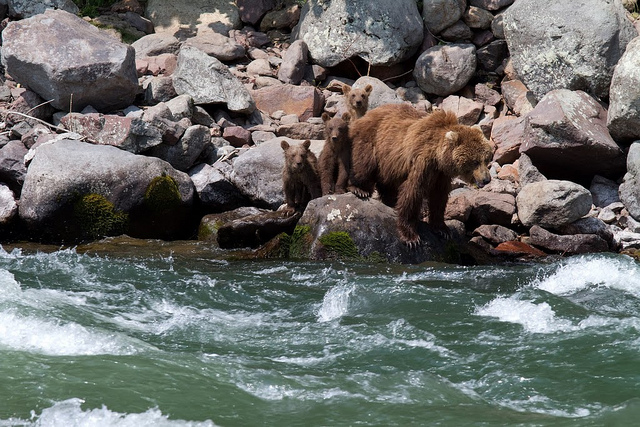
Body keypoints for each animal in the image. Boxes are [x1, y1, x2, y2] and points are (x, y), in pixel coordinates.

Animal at [350, 103, 496, 246]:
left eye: (487, 158)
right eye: (475, 161)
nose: (486, 179)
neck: (438, 156)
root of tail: (368, 114)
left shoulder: (441, 174)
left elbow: (439, 197)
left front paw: (443, 230)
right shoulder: (423, 163)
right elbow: (413, 192)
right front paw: (411, 237)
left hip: (389, 164)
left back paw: (390, 201)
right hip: (373, 140)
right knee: (364, 162)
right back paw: (360, 189)